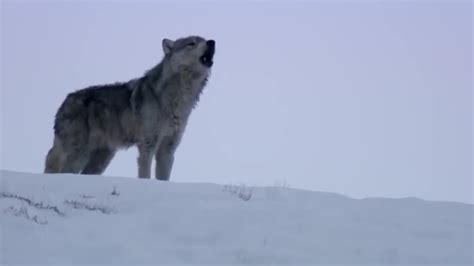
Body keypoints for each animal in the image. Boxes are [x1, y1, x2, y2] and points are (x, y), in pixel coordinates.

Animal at [44, 35, 215, 181]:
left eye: (204, 39)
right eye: (191, 43)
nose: (212, 42)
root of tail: (65, 101)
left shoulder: (168, 149)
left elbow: (163, 178)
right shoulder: (147, 145)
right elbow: (145, 174)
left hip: (101, 159)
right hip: (79, 154)